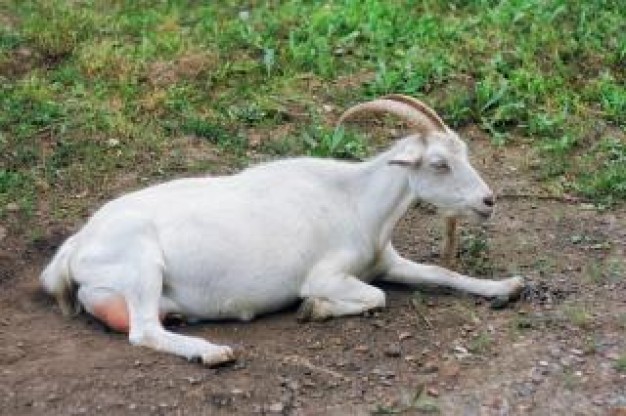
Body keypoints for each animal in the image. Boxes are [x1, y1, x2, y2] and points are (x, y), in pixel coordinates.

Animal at [40, 96, 520, 366]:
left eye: (464, 153)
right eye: (439, 163)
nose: (488, 201)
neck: (353, 199)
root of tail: (74, 248)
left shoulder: (387, 261)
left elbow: (443, 273)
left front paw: (507, 286)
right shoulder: (325, 274)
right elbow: (375, 297)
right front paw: (314, 309)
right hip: (141, 266)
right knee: (142, 331)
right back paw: (211, 352)